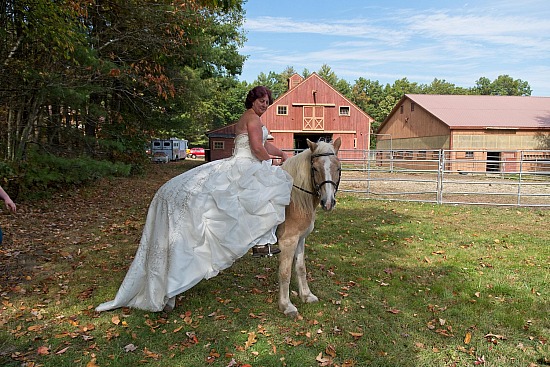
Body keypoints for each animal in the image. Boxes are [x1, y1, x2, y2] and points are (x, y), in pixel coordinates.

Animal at [280, 138, 340, 320]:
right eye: (314, 168)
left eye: (338, 168)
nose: (328, 202)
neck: (293, 201)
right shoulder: (288, 241)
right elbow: (285, 273)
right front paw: (286, 305)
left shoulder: (300, 239)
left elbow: (300, 268)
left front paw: (306, 295)